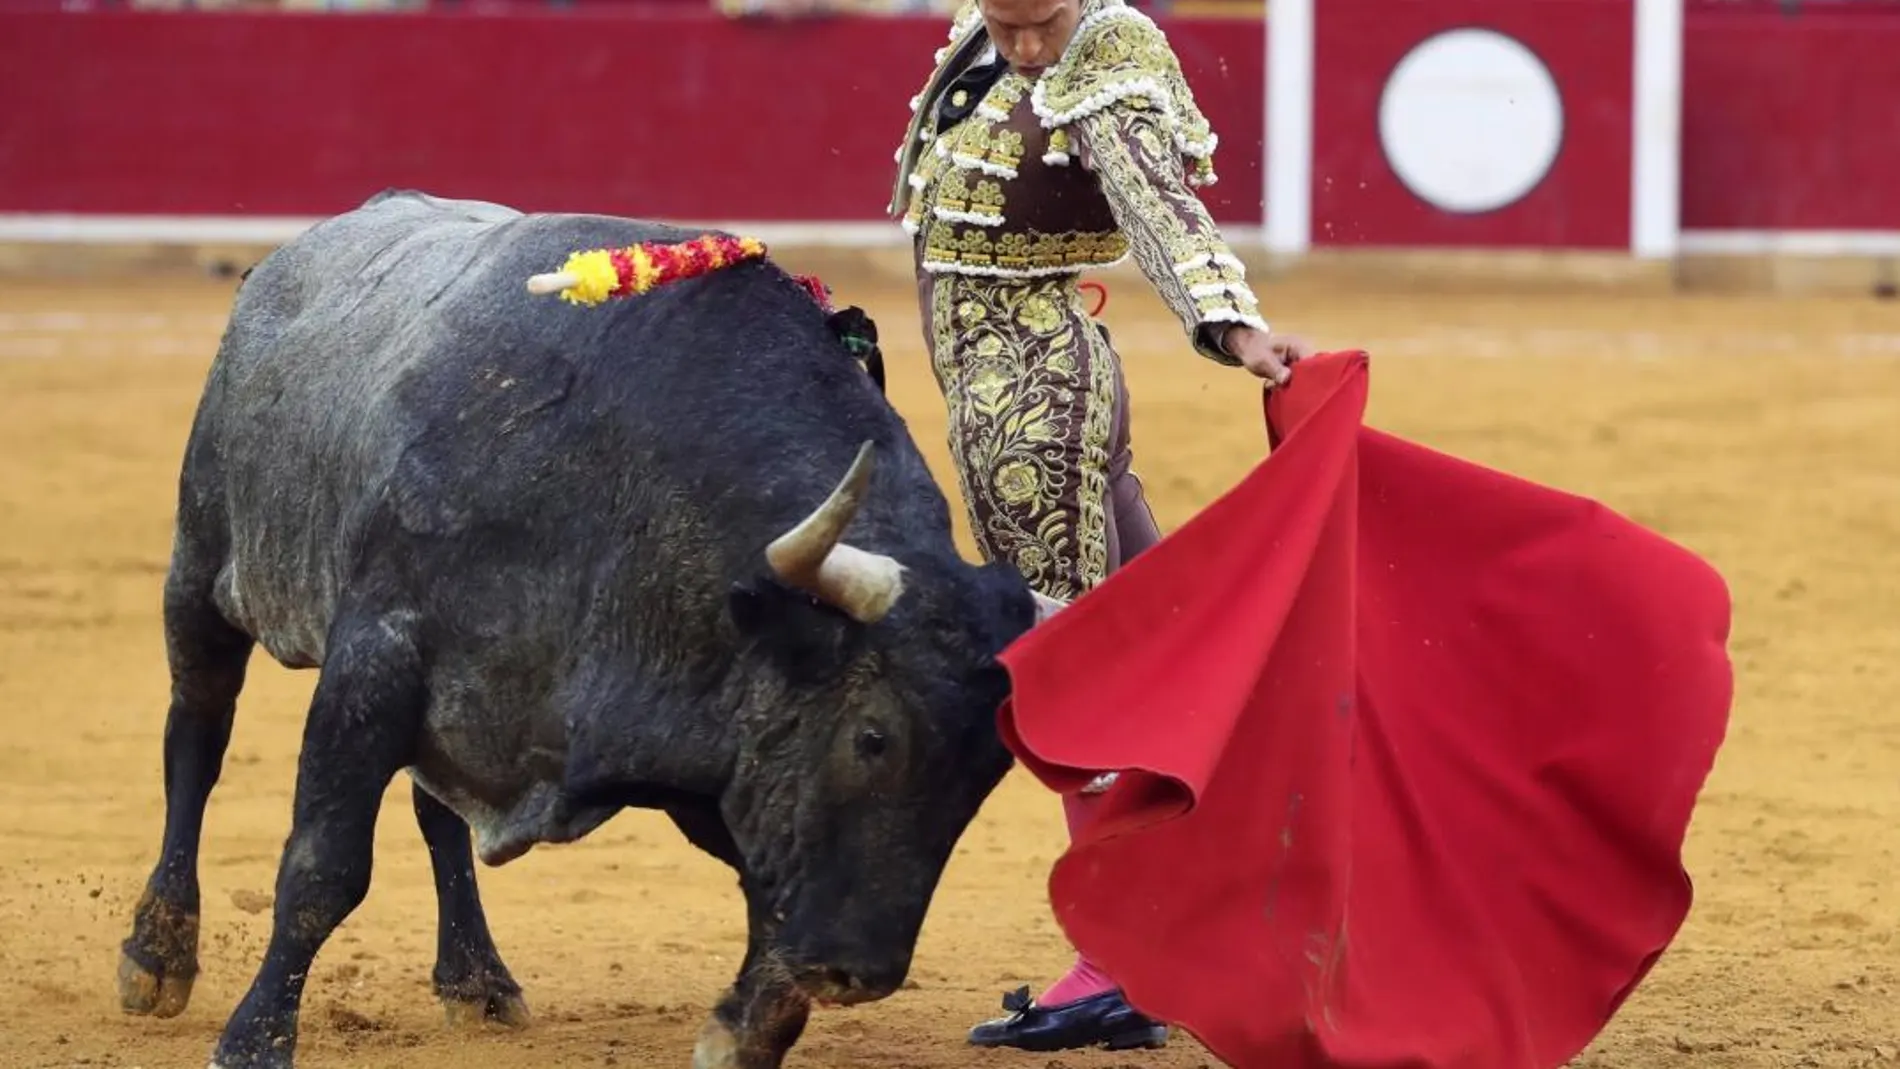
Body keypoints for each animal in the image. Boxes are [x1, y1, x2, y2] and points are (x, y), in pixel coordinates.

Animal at [114, 192, 1071, 1069]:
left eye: (988, 772)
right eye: (873, 738)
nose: (858, 972)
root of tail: (291, 256)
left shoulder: (703, 736)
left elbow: (767, 890)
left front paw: (746, 1029)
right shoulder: (375, 659)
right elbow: (324, 864)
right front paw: (253, 1039)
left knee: (435, 808)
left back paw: (477, 978)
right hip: (200, 568)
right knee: (195, 736)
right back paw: (157, 953)